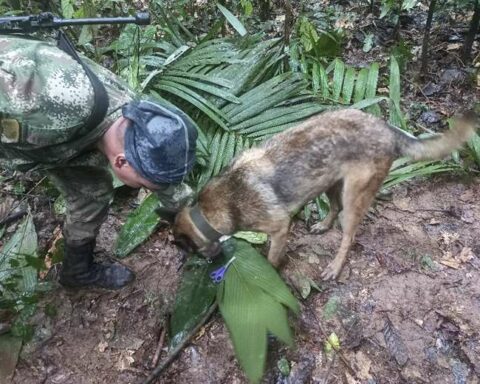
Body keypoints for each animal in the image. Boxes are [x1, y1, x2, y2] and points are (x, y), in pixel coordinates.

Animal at [173, 109, 476, 280]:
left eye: (189, 251)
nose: (209, 262)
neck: (209, 211)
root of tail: (386, 128)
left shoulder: (280, 227)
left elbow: (272, 257)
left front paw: (271, 272)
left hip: (354, 197)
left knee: (348, 235)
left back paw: (335, 266)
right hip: (330, 182)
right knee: (334, 208)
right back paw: (322, 225)